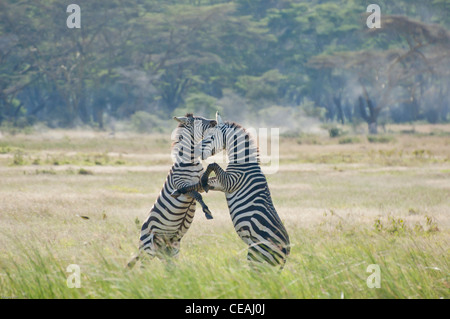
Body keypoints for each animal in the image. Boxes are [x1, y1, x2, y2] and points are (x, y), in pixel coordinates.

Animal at [126, 114, 221, 268]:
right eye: (198, 120)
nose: (214, 121)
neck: (190, 160)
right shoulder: (180, 182)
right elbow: (194, 193)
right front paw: (206, 211)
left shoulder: (200, 183)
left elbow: (204, 184)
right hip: (148, 250)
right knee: (143, 268)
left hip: (171, 252)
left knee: (171, 269)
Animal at [172, 112, 292, 270]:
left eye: (210, 137)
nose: (196, 152)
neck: (243, 163)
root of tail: (286, 249)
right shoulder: (220, 182)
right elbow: (197, 184)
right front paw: (179, 190)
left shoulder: (229, 182)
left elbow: (212, 165)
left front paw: (201, 181)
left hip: (259, 256)